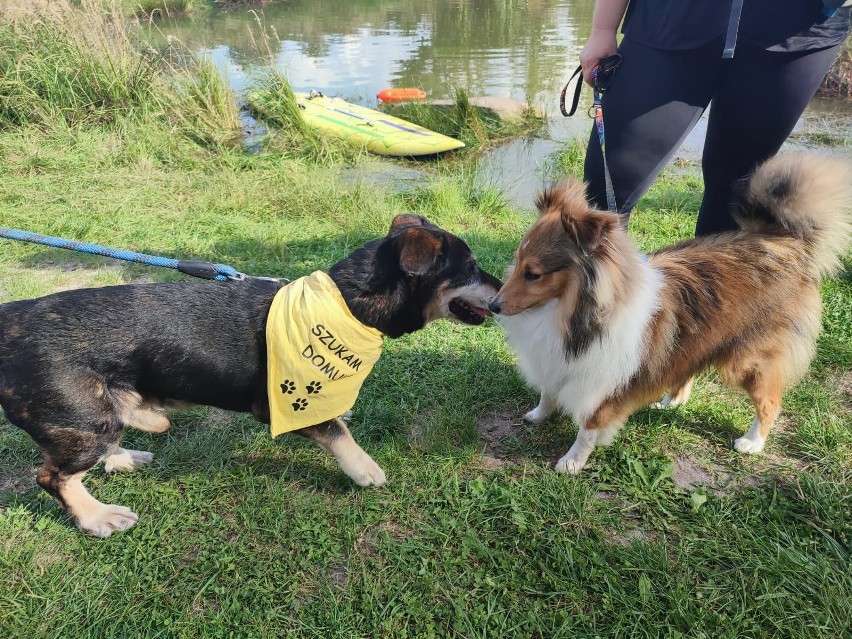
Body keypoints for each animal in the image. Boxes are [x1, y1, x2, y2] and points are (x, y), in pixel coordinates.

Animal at [0, 215, 502, 536]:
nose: (502, 294)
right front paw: (364, 470)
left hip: (96, 417)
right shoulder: (282, 405)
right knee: (53, 477)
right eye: (470, 268)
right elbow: (338, 434)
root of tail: (10, 319)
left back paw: (123, 458)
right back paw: (97, 518)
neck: (348, 304)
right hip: (86, 418)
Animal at [490, 154, 852, 476]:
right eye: (517, 262)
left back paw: (752, 442)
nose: (493, 306)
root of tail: (786, 242)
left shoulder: (604, 383)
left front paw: (572, 462)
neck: (571, 312)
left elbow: (588, 429)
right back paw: (671, 400)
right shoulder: (559, 360)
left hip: (749, 361)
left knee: (771, 402)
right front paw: (538, 414)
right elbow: (548, 391)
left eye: (533, 274)